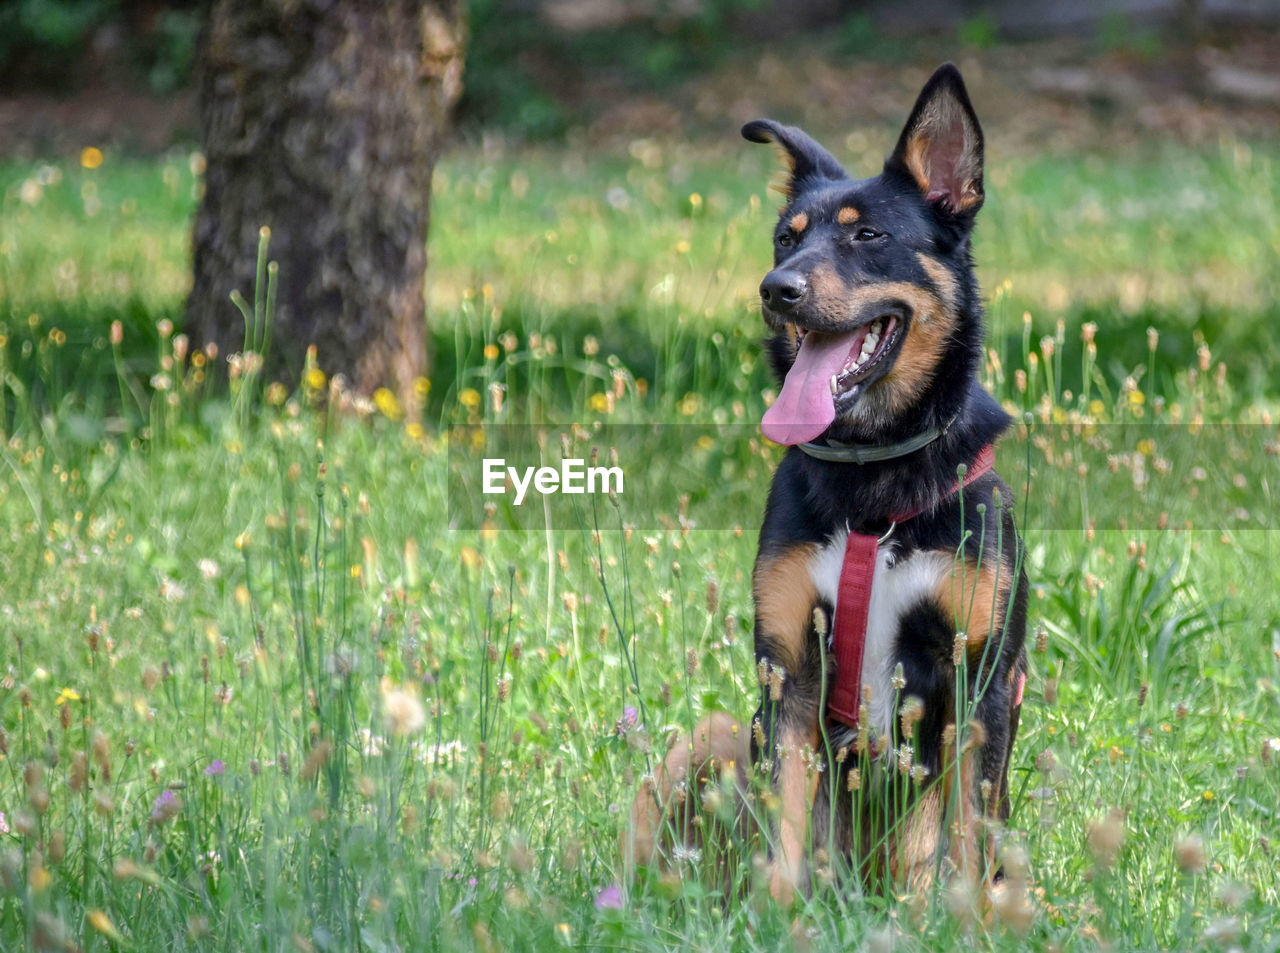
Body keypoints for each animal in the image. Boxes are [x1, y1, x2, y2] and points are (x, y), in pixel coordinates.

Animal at [622, 64, 1029, 900]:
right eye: (787, 237)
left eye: (867, 234)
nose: (775, 287)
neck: (877, 477)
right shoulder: (789, 671)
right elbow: (783, 839)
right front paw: (781, 916)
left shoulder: (979, 678)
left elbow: (968, 841)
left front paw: (966, 918)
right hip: (713, 735)